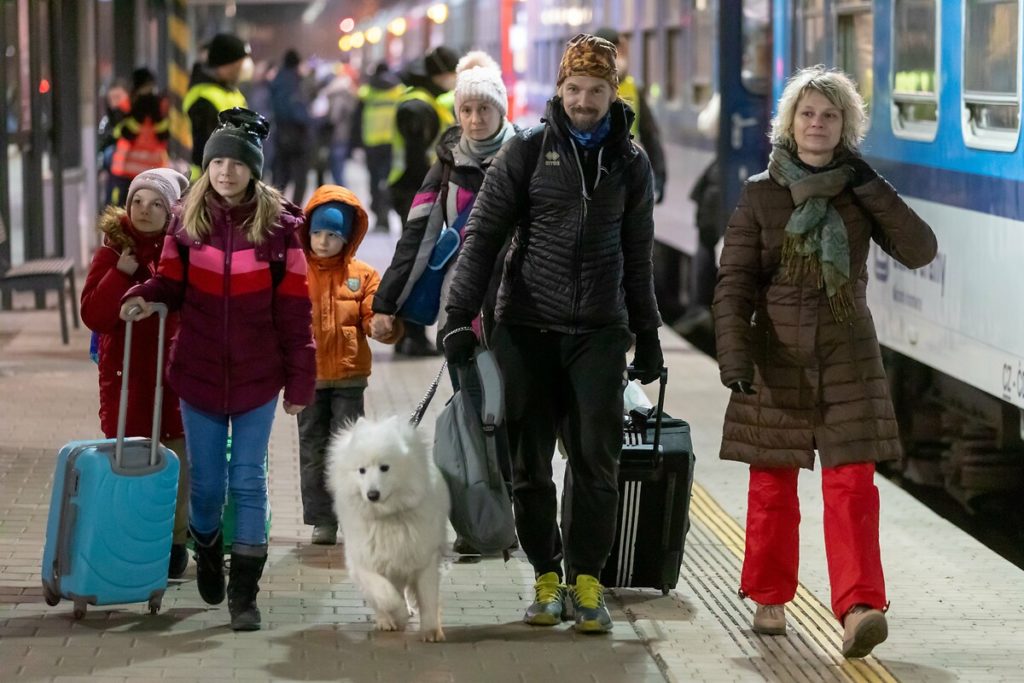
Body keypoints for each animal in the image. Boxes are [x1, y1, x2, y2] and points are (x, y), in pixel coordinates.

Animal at [325, 413, 450, 643]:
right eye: (362, 471)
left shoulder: (424, 558)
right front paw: (397, 616)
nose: (372, 495)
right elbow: (385, 594)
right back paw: (387, 620)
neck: (387, 517)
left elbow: (428, 598)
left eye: (385, 467)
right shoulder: (364, 561)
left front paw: (431, 630)